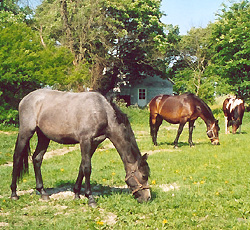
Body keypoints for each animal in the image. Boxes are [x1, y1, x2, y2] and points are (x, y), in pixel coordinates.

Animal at [10, 88, 150, 207]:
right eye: (144, 176)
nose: (147, 198)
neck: (102, 112)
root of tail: (25, 99)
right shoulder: (85, 141)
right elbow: (87, 168)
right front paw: (90, 199)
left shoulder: (94, 143)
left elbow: (82, 167)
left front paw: (76, 194)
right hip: (26, 133)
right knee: (17, 157)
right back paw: (14, 193)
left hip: (44, 137)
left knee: (37, 158)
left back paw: (43, 192)